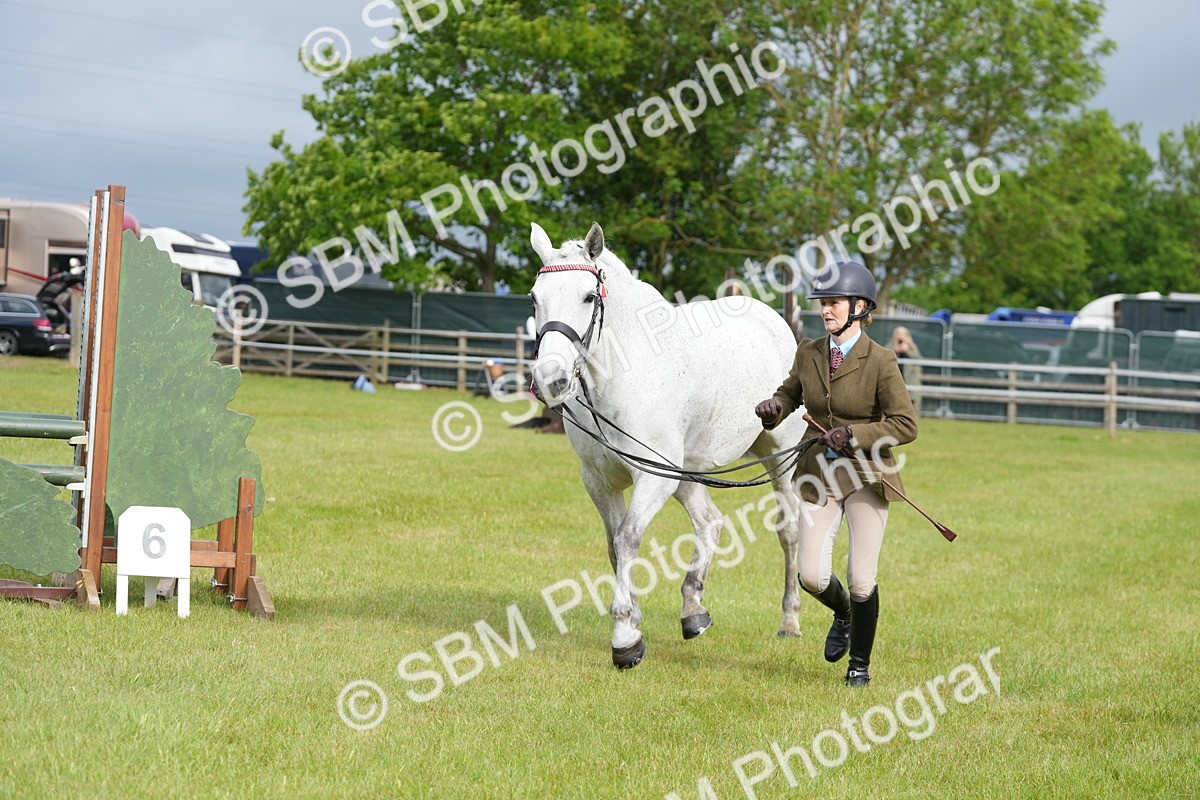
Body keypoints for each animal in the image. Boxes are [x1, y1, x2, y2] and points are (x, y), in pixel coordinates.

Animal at [528, 221, 809, 668]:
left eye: (588, 296)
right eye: (535, 298)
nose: (551, 379)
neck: (625, 374)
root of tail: (777, 324)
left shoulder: (652, 477)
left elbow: (627, 538)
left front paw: (625, 638)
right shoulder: (600, 480)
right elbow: (614, 546)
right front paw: (634, 619)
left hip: (778, 461)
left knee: (789, 531)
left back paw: (789, 621)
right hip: (684, 470)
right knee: (710, 521)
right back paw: (693, 611)